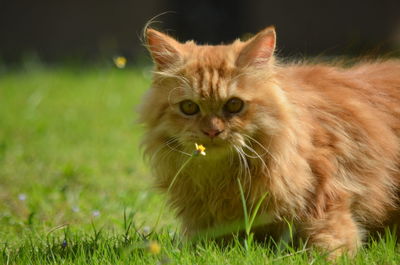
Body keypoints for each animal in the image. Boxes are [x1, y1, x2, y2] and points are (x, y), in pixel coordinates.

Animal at [138, 25, 400, 256]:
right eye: (189, 108)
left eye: (234, 105)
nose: (212, 131)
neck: (223, 179)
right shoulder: (205, 233)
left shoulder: (329, 211)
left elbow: (325, 251)